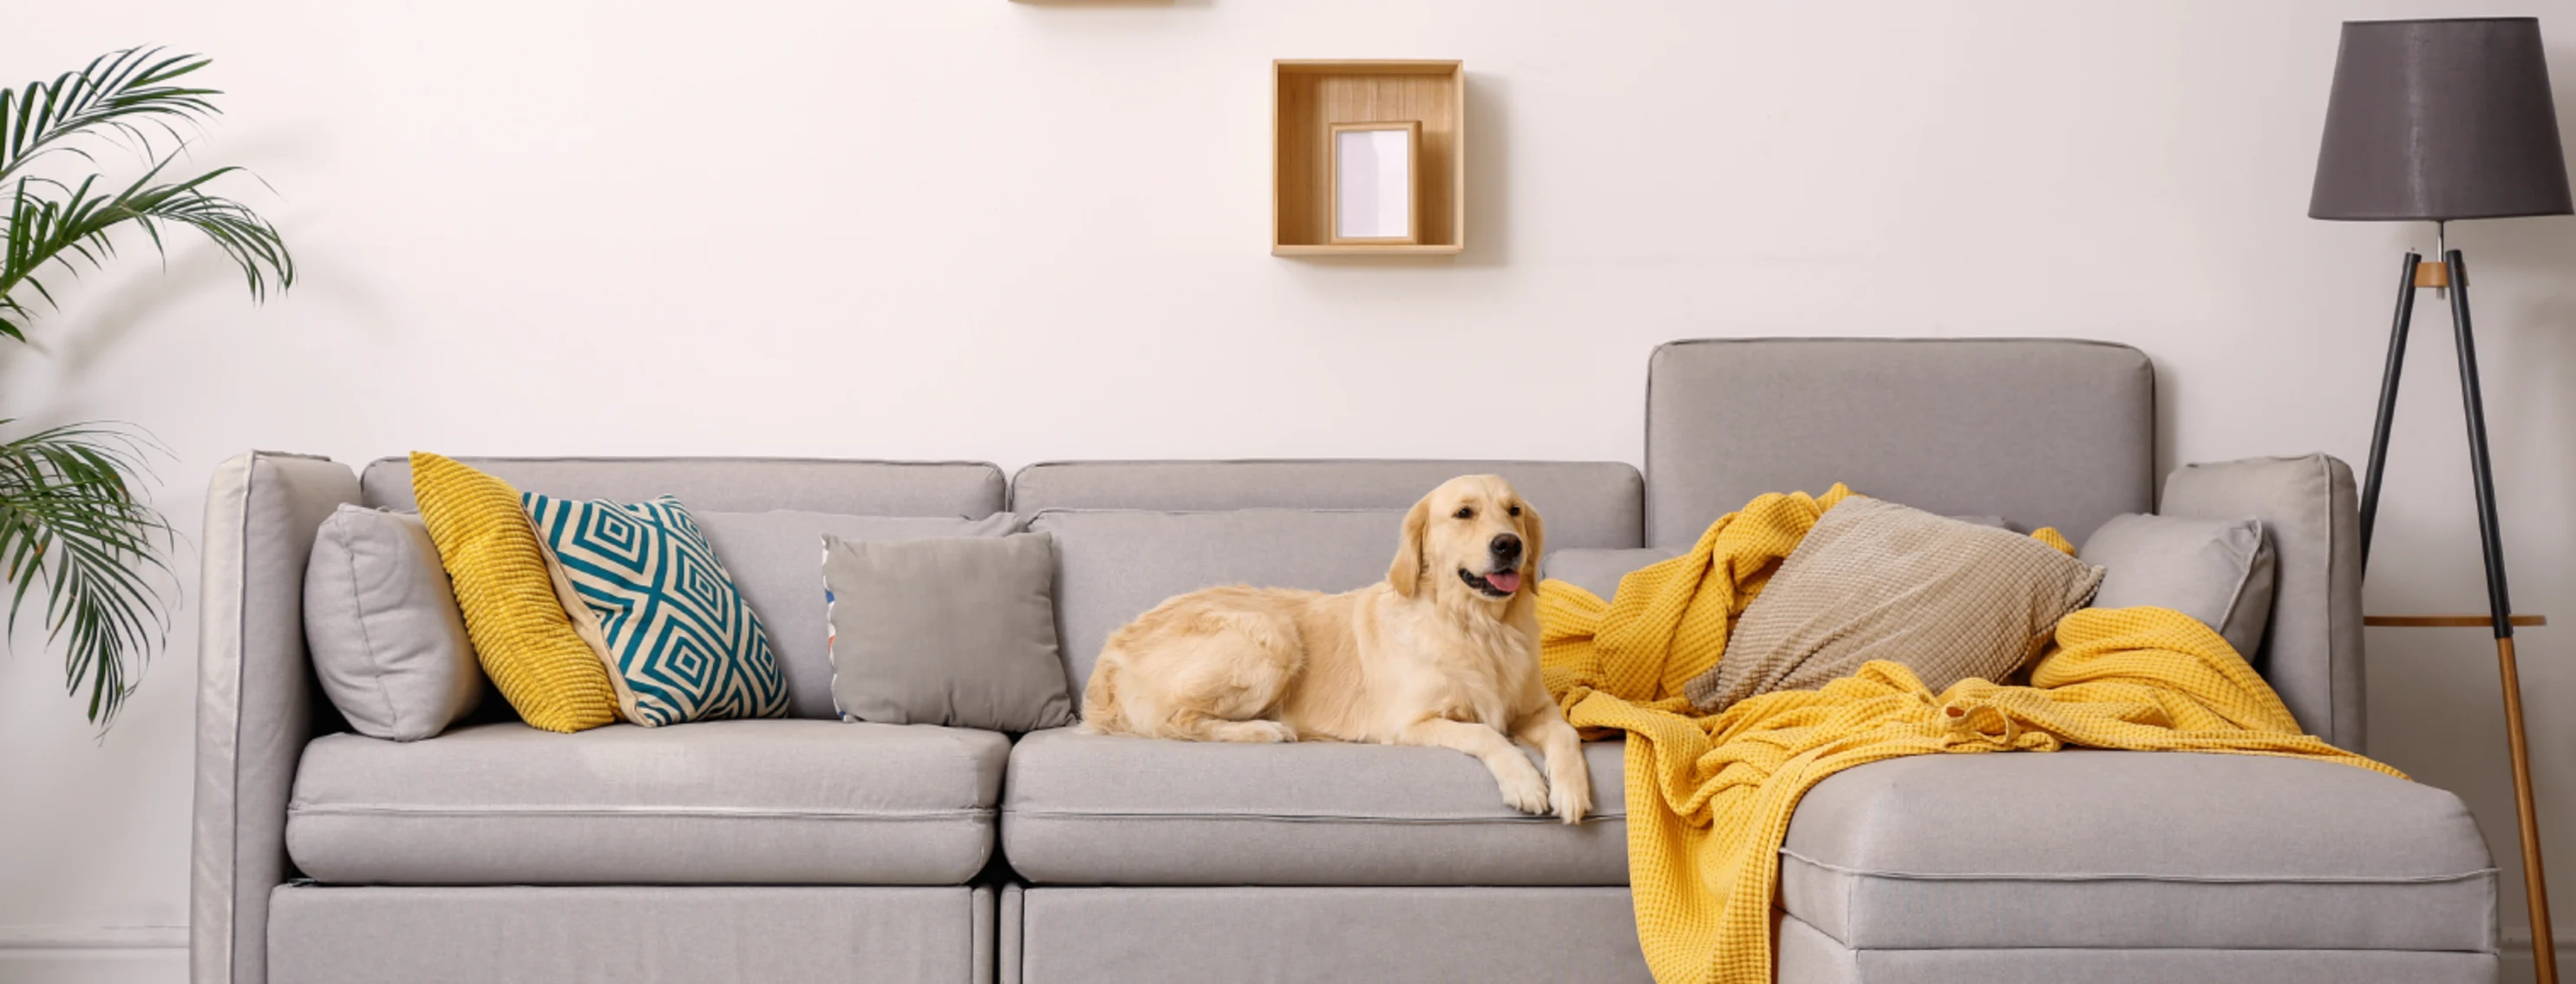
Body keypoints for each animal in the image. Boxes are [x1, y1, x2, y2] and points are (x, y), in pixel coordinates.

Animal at [1071, 476, 1586, 823]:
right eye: (1464, 513)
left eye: (1514, 510)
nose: (1509, 545)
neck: (1479, 627)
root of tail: (1113, 651)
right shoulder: (1410, 723)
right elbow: (1486, 735)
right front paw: (1524, 782)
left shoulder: (1535, 708)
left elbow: (1567, 734)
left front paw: (1571, 790)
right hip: (1272, 637)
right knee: (1174, 722)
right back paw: (1266, 730)